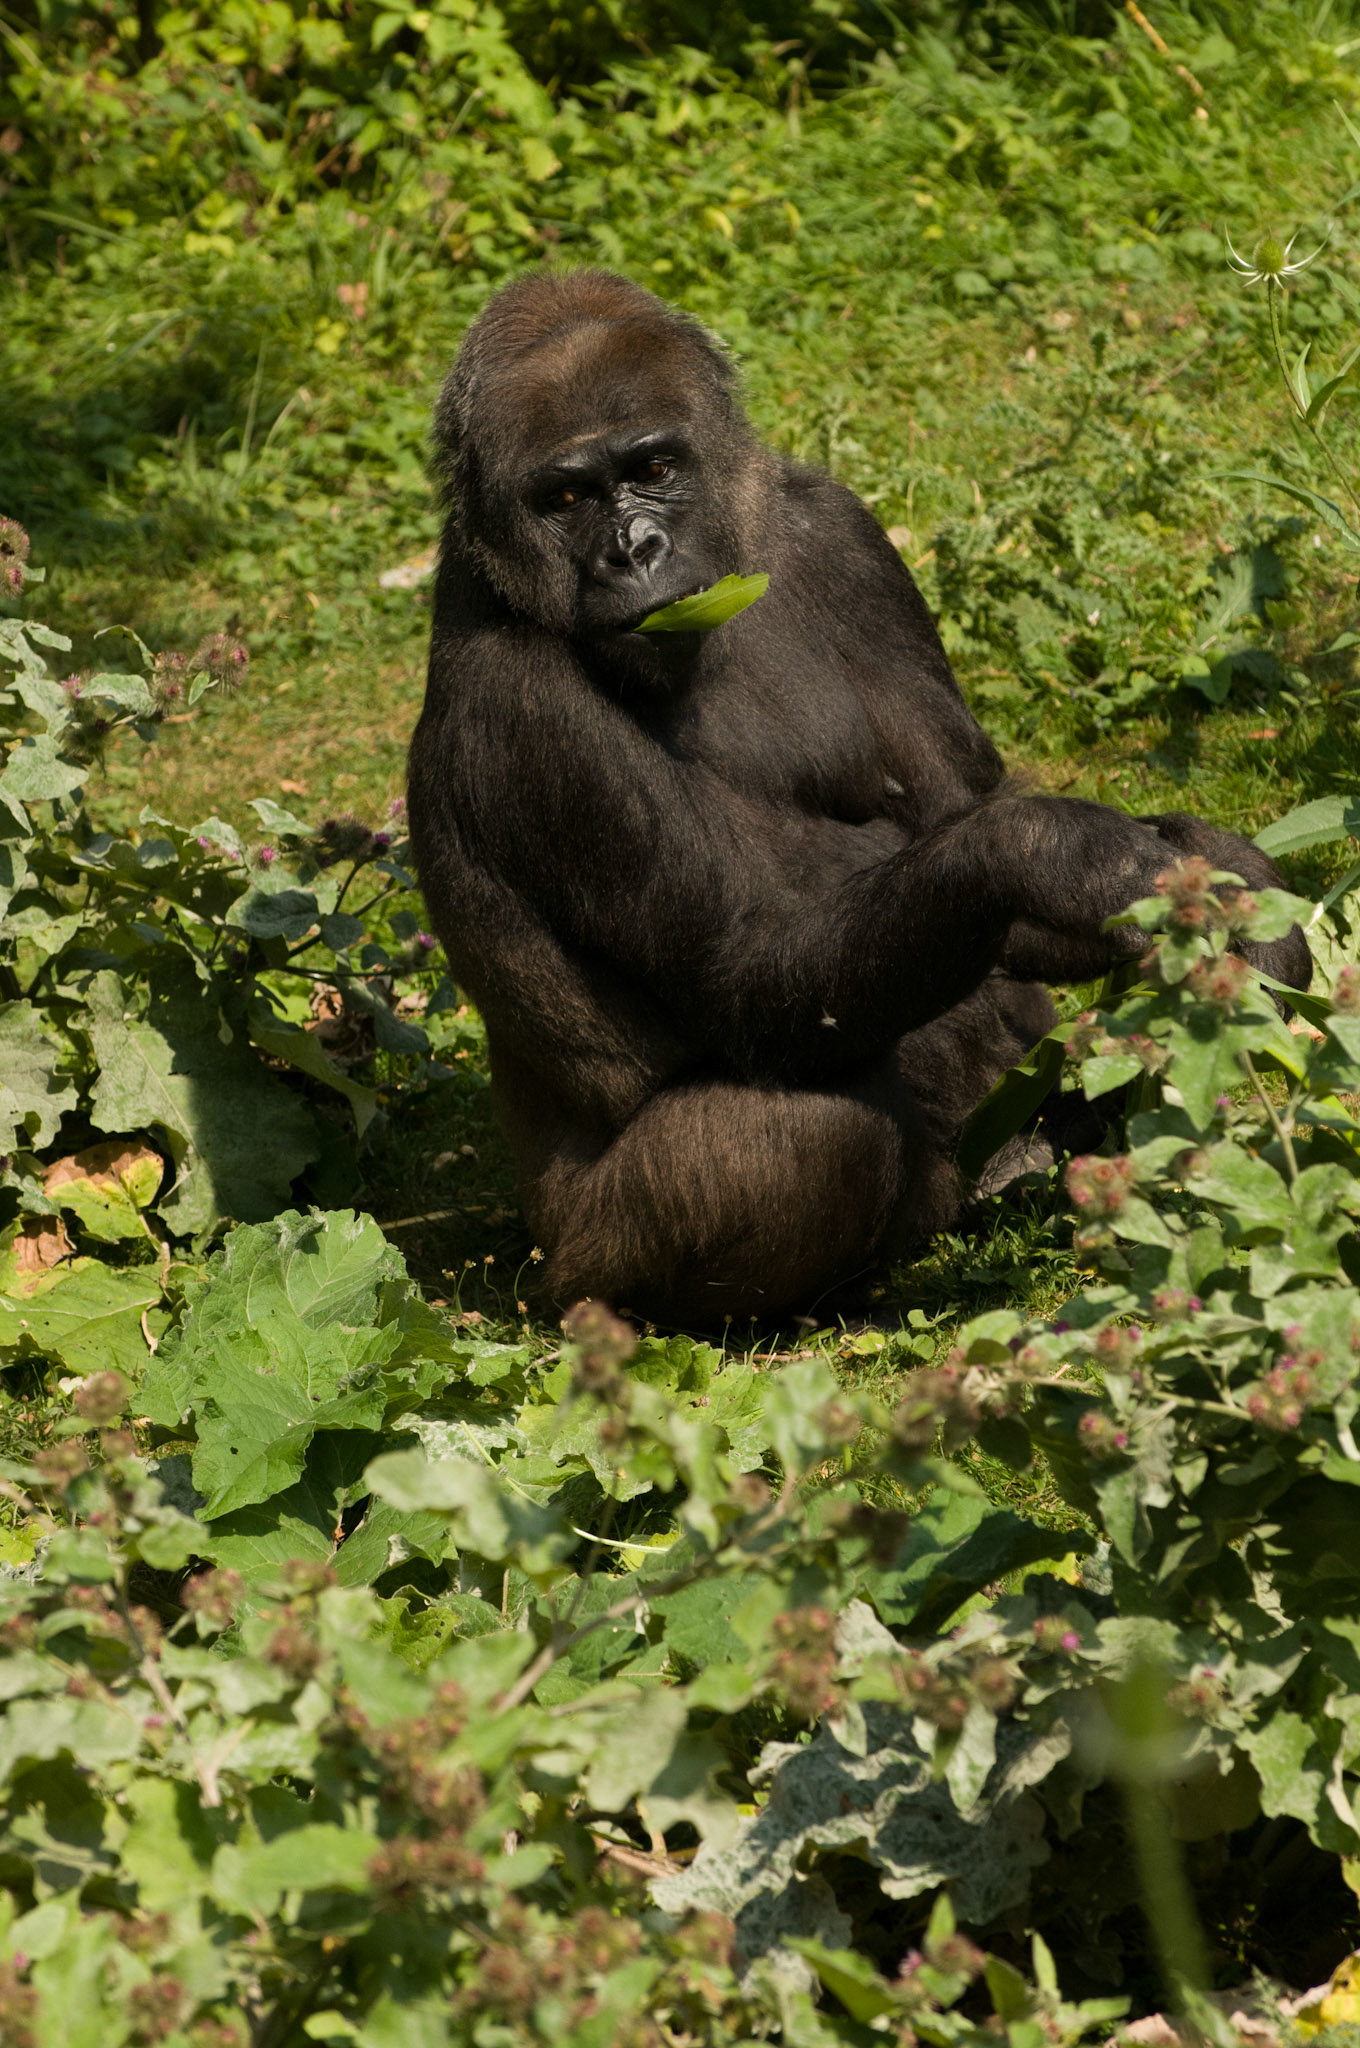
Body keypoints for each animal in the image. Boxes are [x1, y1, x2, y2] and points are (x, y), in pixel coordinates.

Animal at [407, 269, 1309, 1326]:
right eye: (564, 497)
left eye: (655, 465)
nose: (634, 551)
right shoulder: (519, 701)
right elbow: (745, 969)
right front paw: (1055, 849)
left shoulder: (840, 534)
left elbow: (956, 827)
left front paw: (1221, 873)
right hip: (578, 1261)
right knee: (813, 1138)